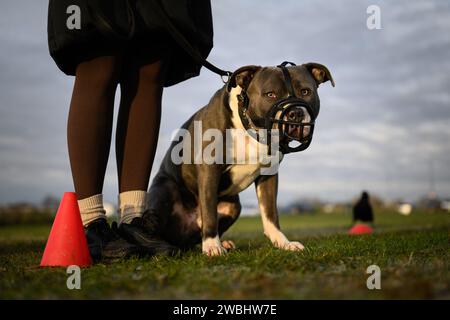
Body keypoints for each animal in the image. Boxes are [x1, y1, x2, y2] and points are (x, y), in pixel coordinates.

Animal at [144, 62, 334, 255]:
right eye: (270, 94)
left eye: (305, 91)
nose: (295, 113)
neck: (251, 128)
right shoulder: (209, 169)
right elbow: (209, 212)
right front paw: (212, 246)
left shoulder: (268, 175)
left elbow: (270, 213)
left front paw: (283, 243)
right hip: (164, 192)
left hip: (234, 206)